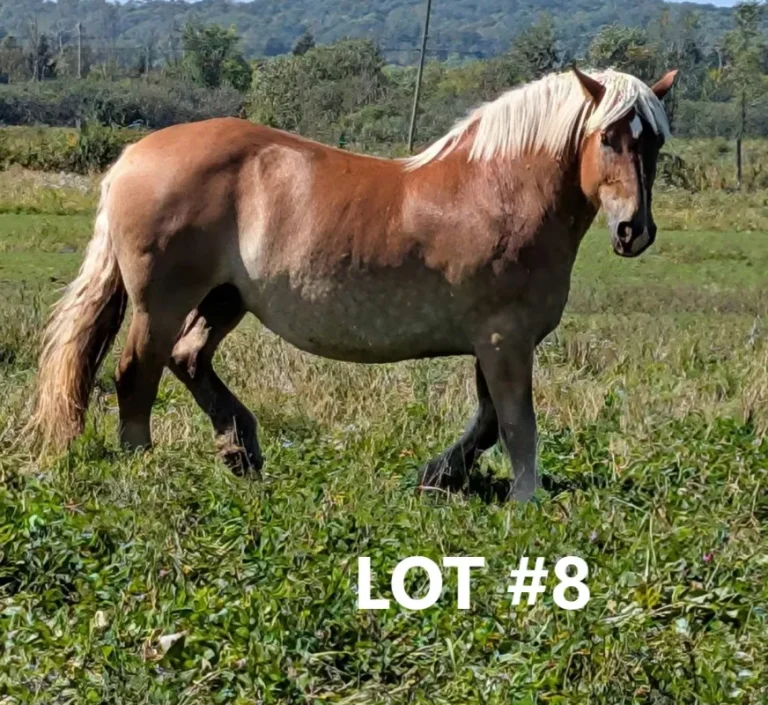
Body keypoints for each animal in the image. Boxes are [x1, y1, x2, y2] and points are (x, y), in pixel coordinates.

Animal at [32, 67, 678, 502]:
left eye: (655, 141)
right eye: (607, 138)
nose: (634, 230)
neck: (500, 192)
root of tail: (129, 157)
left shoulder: (492, 342)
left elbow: (488, 420)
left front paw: (437, 475)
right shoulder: (505, 340)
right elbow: (517, 423)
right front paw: (526, 498)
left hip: (223, 300)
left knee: (188, 359)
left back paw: (241, 450)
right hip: (162, 302)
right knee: (135, 375)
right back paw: (142, 465)